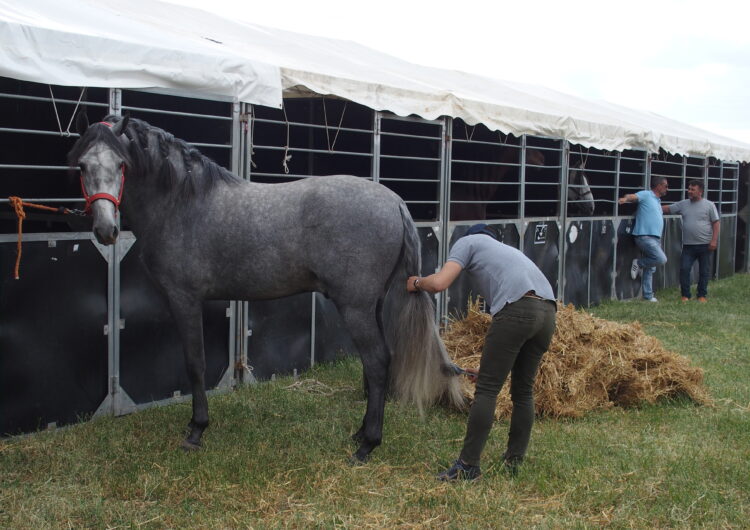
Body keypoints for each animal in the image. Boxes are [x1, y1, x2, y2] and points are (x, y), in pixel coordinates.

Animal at [69, 113, 464, 460]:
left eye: (121, 165)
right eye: (82, 166)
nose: (106, 230)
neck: (182, 203)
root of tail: (394, 202)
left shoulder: (185, 299)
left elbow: (195, 363)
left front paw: (196, 430)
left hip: (355, 307)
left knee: (378, 362)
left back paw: (367, 445)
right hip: (372, 305)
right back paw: (360, 432)